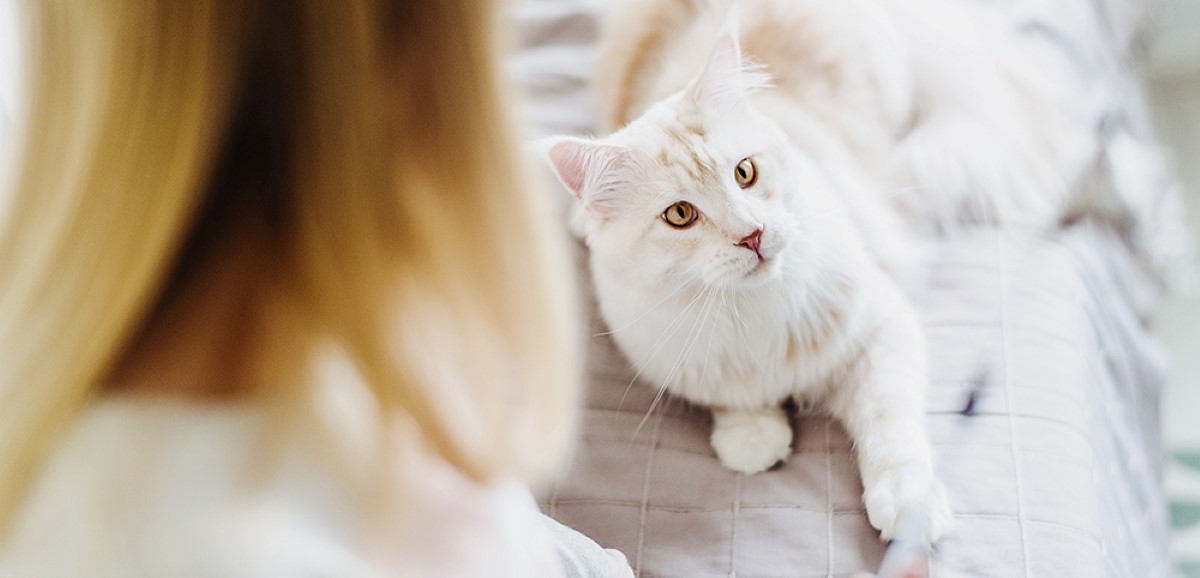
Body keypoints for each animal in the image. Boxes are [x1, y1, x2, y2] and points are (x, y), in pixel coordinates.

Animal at [540, 0, 1075, 544]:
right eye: (680, 215)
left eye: (745, 173)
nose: (751, 234)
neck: (753, 313)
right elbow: (735, 402)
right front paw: (753, 433)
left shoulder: (883, 326)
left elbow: (890, 422)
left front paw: (906, 504)